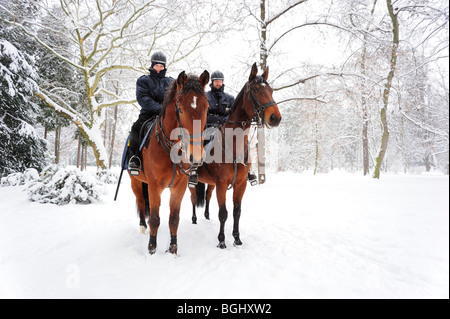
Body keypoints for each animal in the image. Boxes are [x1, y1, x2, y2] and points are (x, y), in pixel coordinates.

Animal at [128, 70, 209, 255]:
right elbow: (155, 218)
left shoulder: (179, 187)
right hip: (135, 182)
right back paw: (142, 227)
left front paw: (173, 249)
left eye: (207, 107)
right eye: (180, 109)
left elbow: (173, 218)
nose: (196, 155)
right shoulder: (154, 186)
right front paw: (151, 249)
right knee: (141, 202)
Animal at [190, 63, 282, 250]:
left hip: (210, 183)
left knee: (207, 196)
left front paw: (237, 239)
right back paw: (194, 219)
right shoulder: (221, 184)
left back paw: (206, 216)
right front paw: (221, 241)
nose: (275, 118)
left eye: (271, 90)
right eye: (255, 89)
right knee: (193, 199)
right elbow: (223, 213)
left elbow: (236, 211)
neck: (233, 145)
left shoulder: (240, 184)